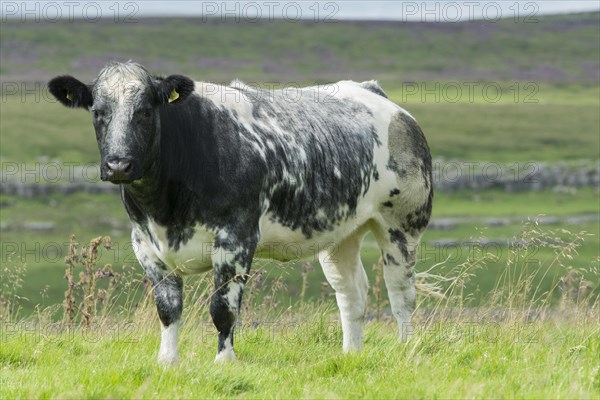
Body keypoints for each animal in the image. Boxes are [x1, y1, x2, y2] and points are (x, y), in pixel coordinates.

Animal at [47, 61, 432, 366]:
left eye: (144, 110)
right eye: (98, 112)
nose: (118, 164)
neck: (165, 208)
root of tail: (375, 93)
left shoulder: (236, 238)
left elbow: (223, 309)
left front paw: (224, 361)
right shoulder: (145, 244)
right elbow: (168, 308)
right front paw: (167, 361)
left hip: (402, 226)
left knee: (401, 293)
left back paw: (406, 350)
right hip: (340, 234)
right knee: (352, 294)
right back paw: (350, 354)